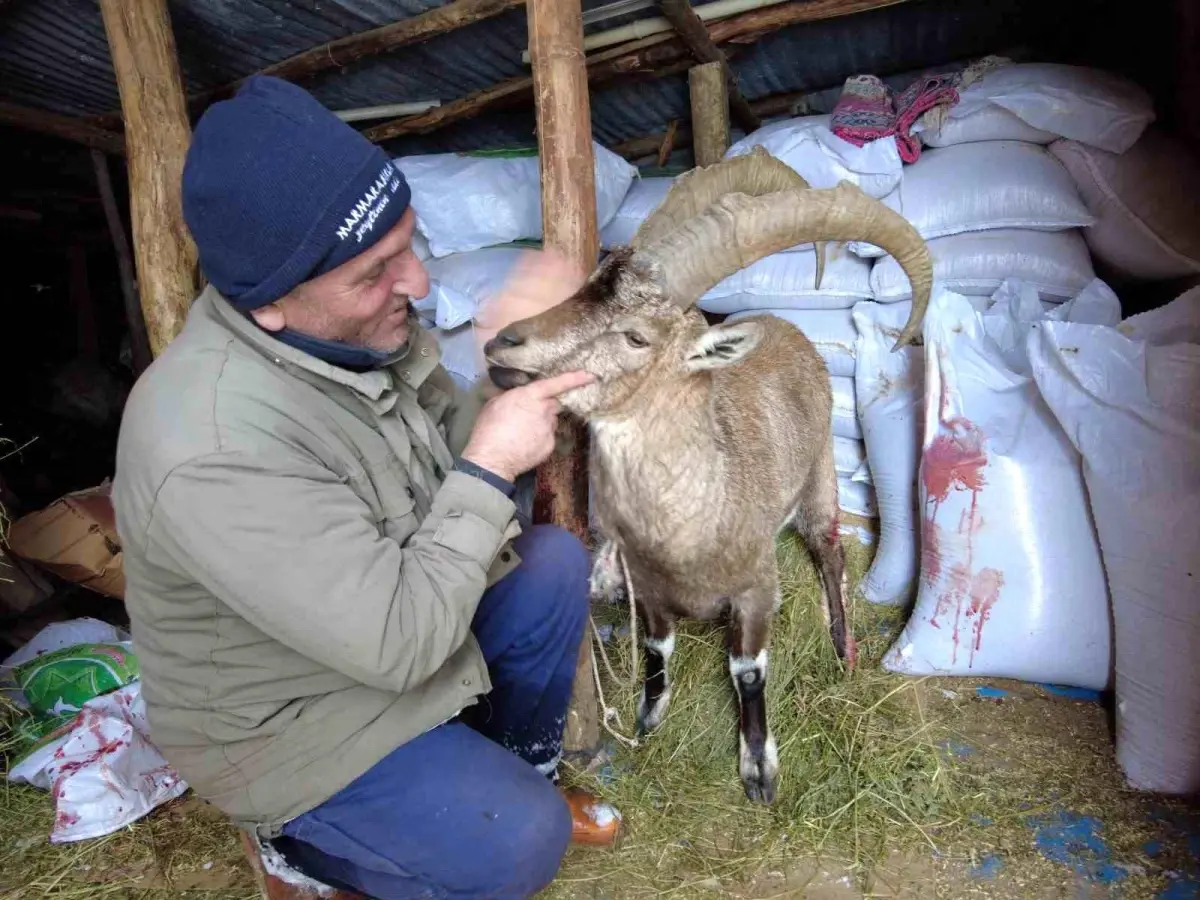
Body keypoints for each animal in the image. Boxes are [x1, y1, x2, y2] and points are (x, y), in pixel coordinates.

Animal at [482, 148, 931, 801]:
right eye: (586, 286)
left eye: (636, 336)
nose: (502, 343)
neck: (689, 522)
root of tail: (780, 323)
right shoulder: (649, 590)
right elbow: (656, 647)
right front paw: (648, 718)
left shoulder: (756, 587)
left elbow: (748, 671)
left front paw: (759, 770)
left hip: (819, 474)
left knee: (830, 551)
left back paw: (841, 648)